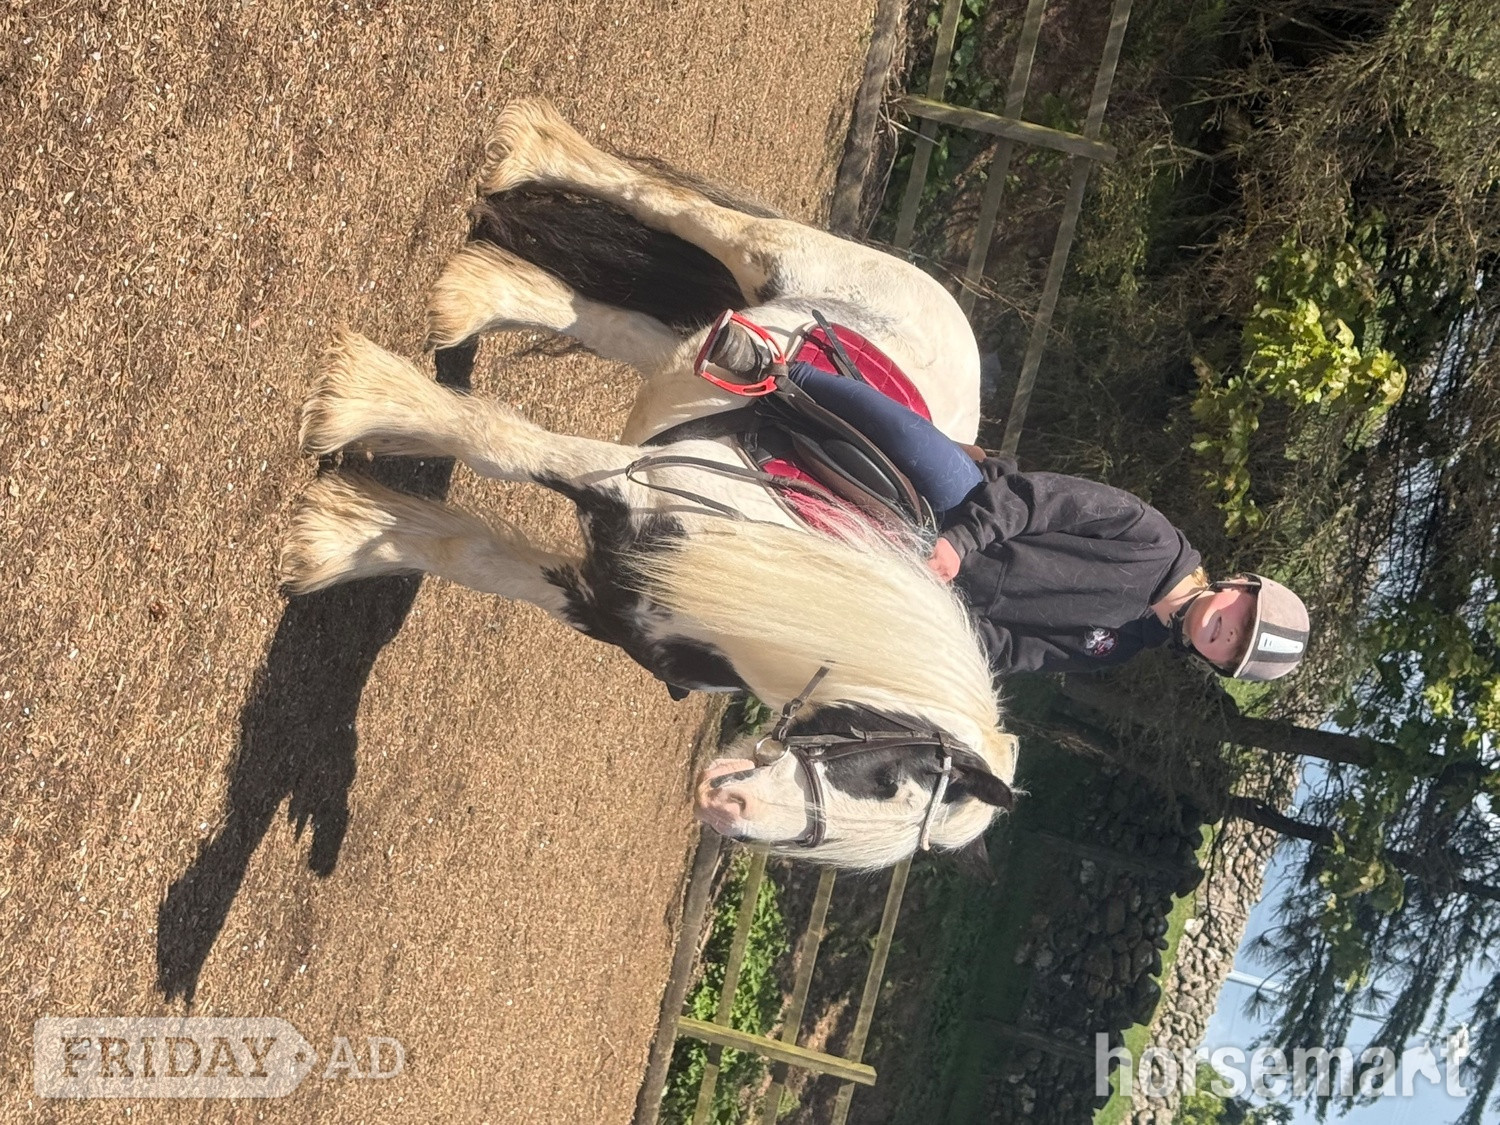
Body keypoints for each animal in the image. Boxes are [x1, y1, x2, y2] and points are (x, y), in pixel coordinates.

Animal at [279, 99, 1016, 871]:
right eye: (885, 773)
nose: (728, 809)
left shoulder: (603, 602)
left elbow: (471, 557)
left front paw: (335, 537)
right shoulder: (630, 489)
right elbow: (504, 447)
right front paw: (359, 402)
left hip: (695, 351)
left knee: (607, 323)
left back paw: (474, 294)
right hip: (762, 258)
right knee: (672, 206)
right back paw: (528, 150)